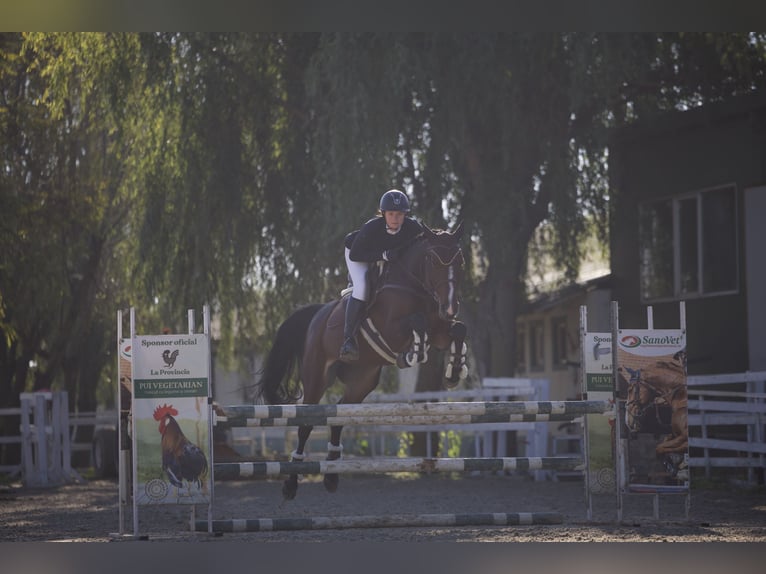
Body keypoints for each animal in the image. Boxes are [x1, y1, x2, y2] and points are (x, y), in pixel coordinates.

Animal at [255, 223, 468, 502]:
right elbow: (417, 322)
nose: (450, 307)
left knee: (339, 414)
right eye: (433, 260)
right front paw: (412, 354)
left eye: (460, 260)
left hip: (362, 380)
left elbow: (458, 330)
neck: (414, 285)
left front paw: (455, 370)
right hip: (316, 377)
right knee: (306, 424)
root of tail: (317, 315)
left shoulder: (440, 331)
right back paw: (291, 483)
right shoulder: (392, 330)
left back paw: (331, 477)